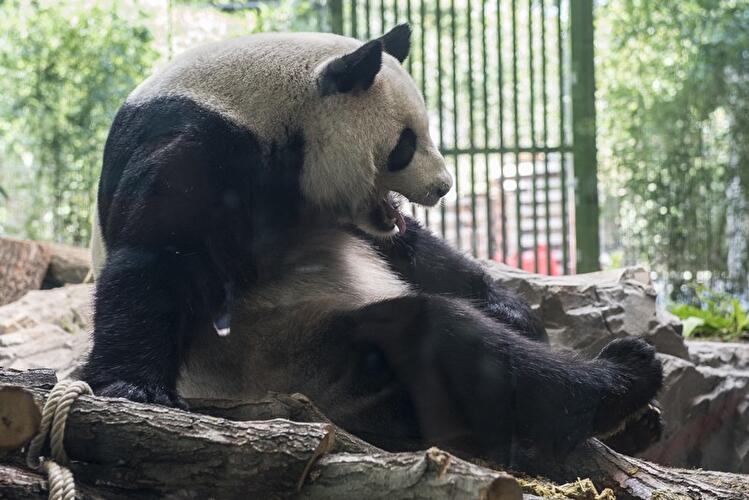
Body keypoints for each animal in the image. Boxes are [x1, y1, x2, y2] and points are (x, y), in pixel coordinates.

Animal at [84, 24, 663, 466]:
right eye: (406, 143)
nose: (444, 186)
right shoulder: (197, 147)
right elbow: (159, 258)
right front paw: (134, 389)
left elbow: (408, 248)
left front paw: (514, 311)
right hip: (300, 360)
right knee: (434, 337)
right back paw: (623, 381)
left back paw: (637, 423)